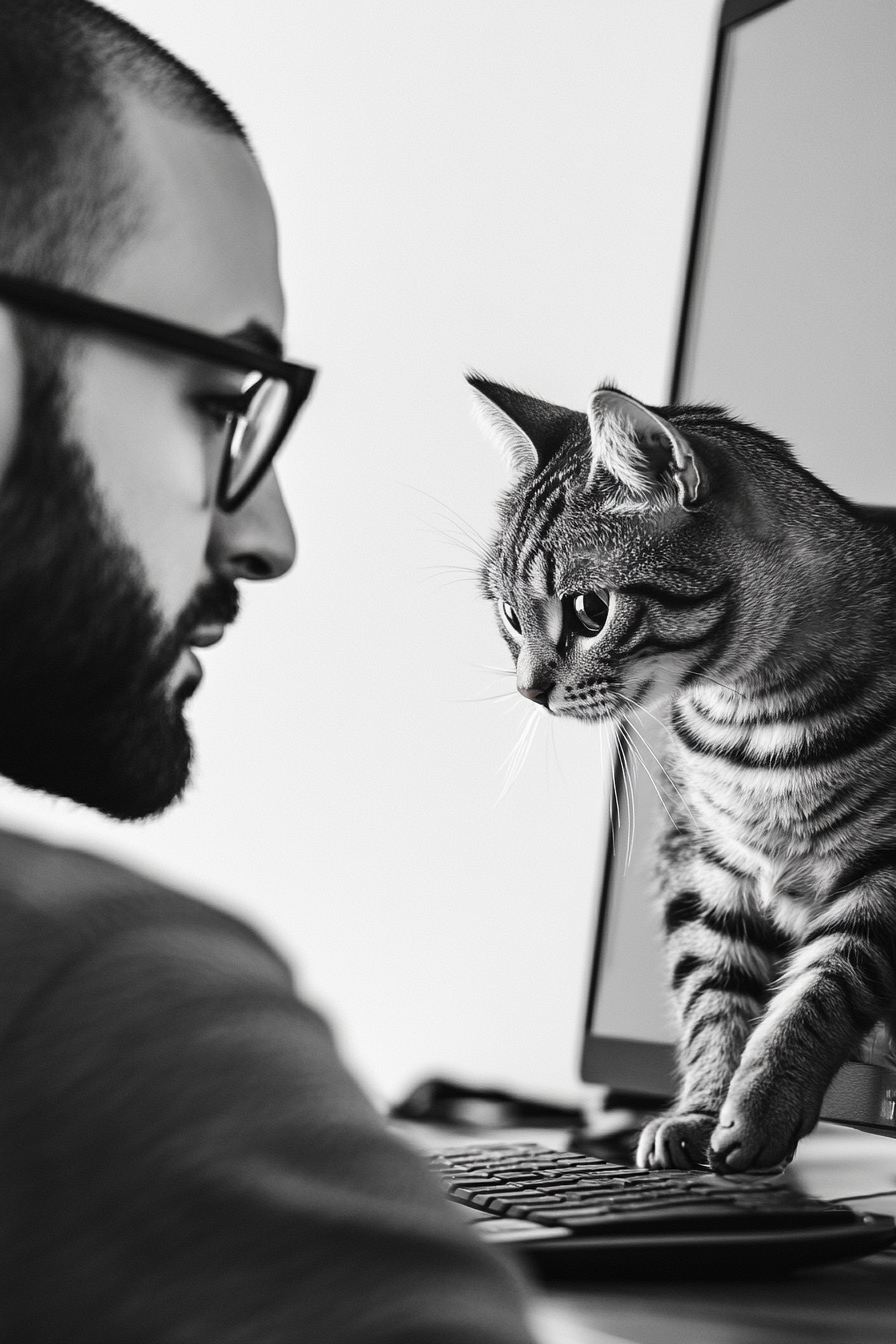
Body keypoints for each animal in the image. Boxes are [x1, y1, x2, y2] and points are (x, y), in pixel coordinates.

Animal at [470, 373, 896, 1171]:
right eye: (509, 614)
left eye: (590, 610)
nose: (528, 689)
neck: (751, 727)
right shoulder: (705, 866)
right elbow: (714, 1002)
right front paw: (700, 1110)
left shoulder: (884, 878)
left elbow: (818, 992)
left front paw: (760, 1106)